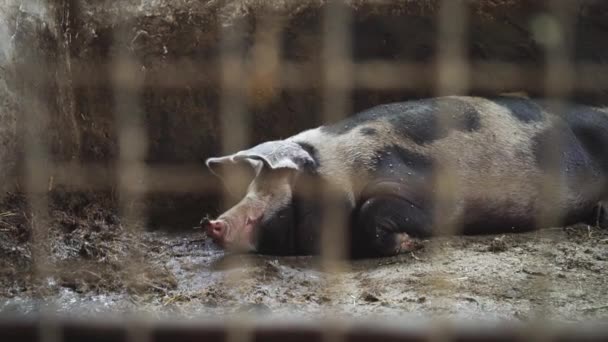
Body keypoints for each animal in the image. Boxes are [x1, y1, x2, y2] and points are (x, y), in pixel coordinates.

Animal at [202, 95, 608, 256]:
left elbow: (374, 212)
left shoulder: (429, 193)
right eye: (251, 188)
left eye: (273, 194)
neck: (344, 170)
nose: (213, 223)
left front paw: (410, 244)